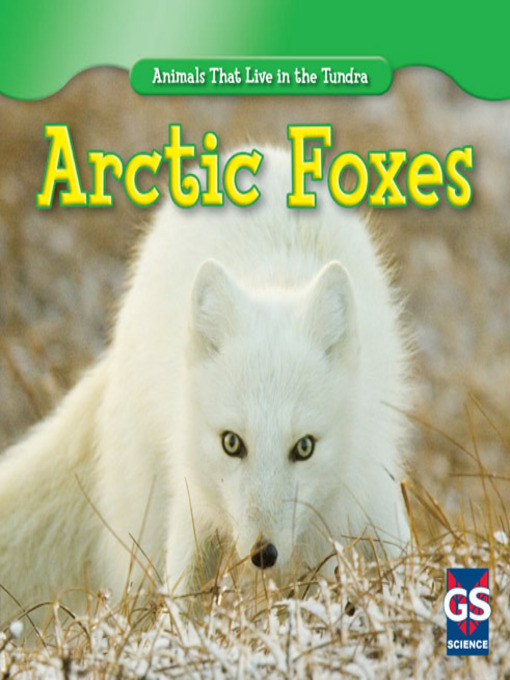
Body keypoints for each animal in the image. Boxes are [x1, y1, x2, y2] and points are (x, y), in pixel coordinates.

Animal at [0, 146, 409, 626]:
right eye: (232, 443)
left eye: (304, 447)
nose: (264, 553)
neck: (276, 282)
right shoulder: (192, 502)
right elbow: (184, 593)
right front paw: (180, 638)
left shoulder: (372, 486)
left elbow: (402, 559)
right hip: (146, 514)